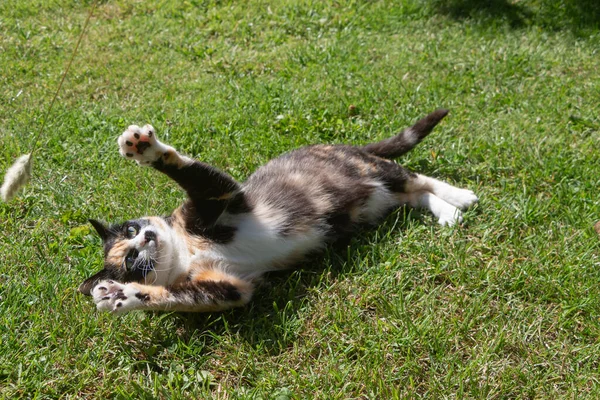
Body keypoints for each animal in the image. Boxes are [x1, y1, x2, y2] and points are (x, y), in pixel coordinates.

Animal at [78, 108, 478, 312]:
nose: (145, 237)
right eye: (131, 261)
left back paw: (458, 198)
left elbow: (190, 171)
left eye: (131, 229)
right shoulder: (231, 287)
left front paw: (144, 148)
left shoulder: (223, 200)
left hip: (371, 170)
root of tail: (345, 146)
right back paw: (447, 211)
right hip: (376, 196)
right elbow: (177, 296)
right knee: (412, 194)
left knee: (416, 177)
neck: (184, 252)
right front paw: (119, 296)